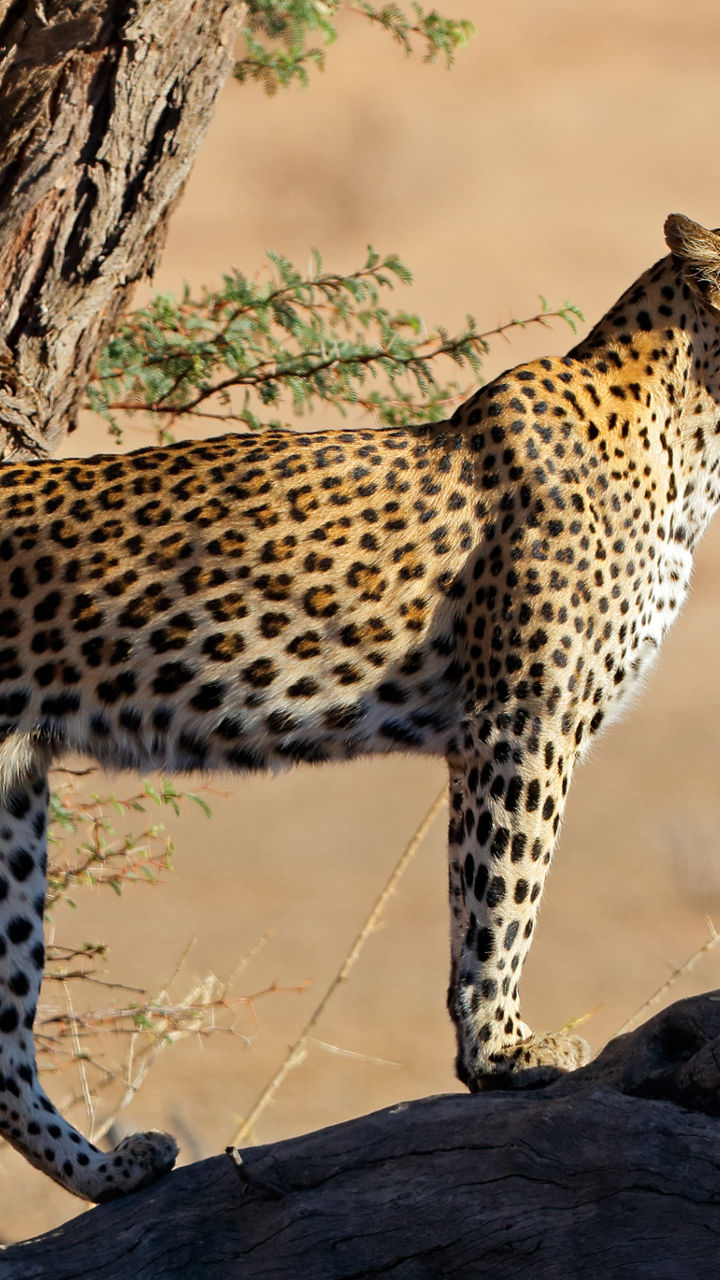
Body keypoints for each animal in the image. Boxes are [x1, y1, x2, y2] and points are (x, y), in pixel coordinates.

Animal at [0, 211, 719, 1202]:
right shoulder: (521, 721)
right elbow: (506, 894)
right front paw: (504, 1054)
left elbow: (480, 888)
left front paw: (490, 1051)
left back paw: (113, 1170)